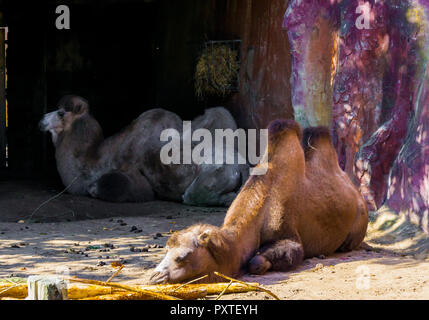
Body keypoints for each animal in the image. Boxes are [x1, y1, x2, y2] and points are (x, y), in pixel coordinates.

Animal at [41, 95, 247, 206]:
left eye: (61, 112)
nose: (41, 120)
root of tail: (242, 167)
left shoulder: (132, 176)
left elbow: (98, 187)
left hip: (214, 173)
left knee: (191, 196)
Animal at [149, 120, 366, 284]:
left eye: (182, 257)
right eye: (166, 250)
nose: (154, 276)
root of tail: (357, 193)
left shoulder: (289, 233)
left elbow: (265, 260)